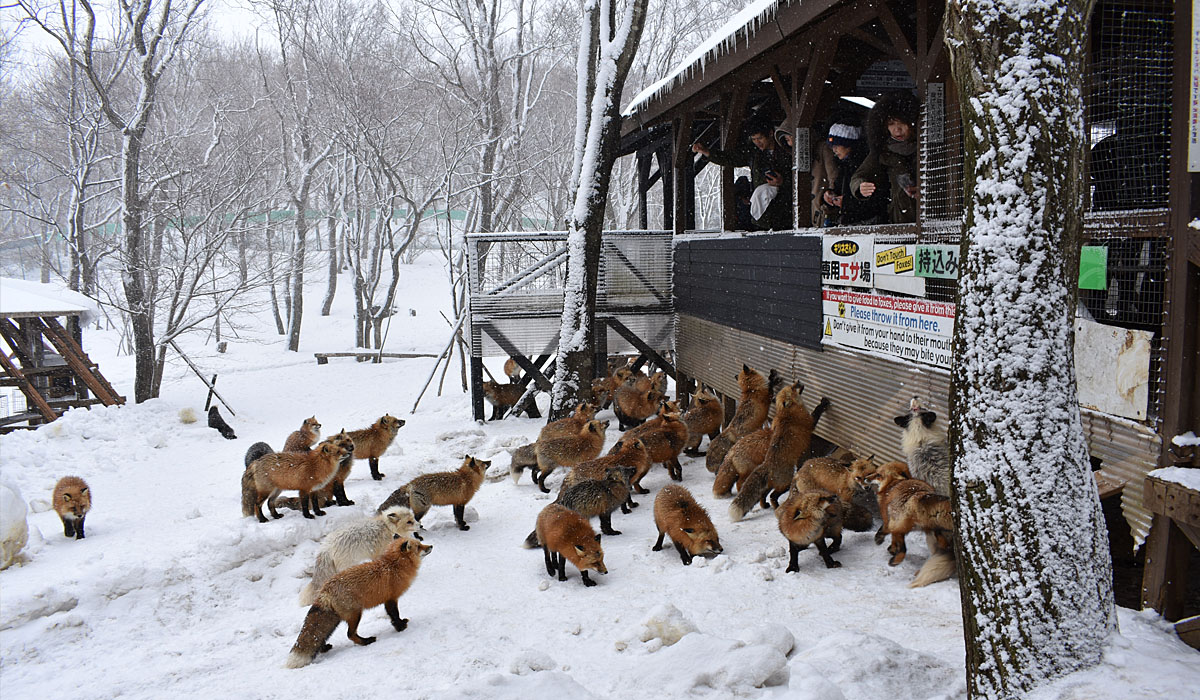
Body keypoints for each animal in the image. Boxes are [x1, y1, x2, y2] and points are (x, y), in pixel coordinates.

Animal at [284, 537, 432, 667]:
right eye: (419, 547)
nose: (431, 546)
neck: (393, 566)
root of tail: (325, 589)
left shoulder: (388, 599)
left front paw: (400, 624)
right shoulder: (391, 598)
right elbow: (394, 615)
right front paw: (400, 627)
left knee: (320, 638)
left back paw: (324, 648)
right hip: (356, 615)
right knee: (350, 634)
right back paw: (366, 641)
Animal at [724, 386, 830, 523]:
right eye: (793, 388)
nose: (800, 383)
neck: (787, 413)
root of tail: (767, 465)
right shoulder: (809, 422)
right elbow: (817, 412)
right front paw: (823, 403)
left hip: (770, 485)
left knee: (763, 496)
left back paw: (765, 505)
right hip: (786, 482)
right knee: (773, 496)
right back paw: (777, 507)